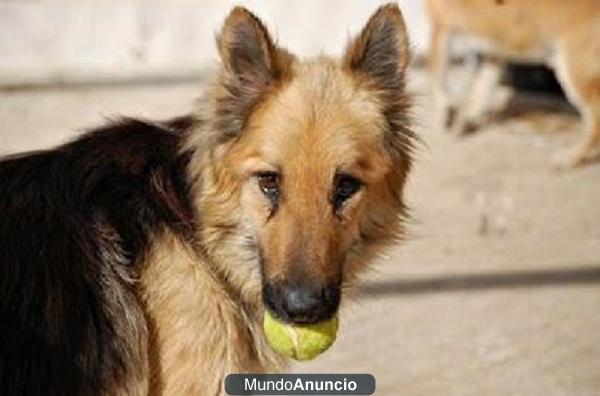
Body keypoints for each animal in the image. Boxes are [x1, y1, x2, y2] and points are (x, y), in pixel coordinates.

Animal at [426, 0, 600, 169]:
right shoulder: (493, 51)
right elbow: (482, 88)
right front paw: (468, 120)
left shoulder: (441, 28)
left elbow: (436, 79)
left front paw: (447, 113)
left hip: (571, 67)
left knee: (595, 119)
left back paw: (570, 158)